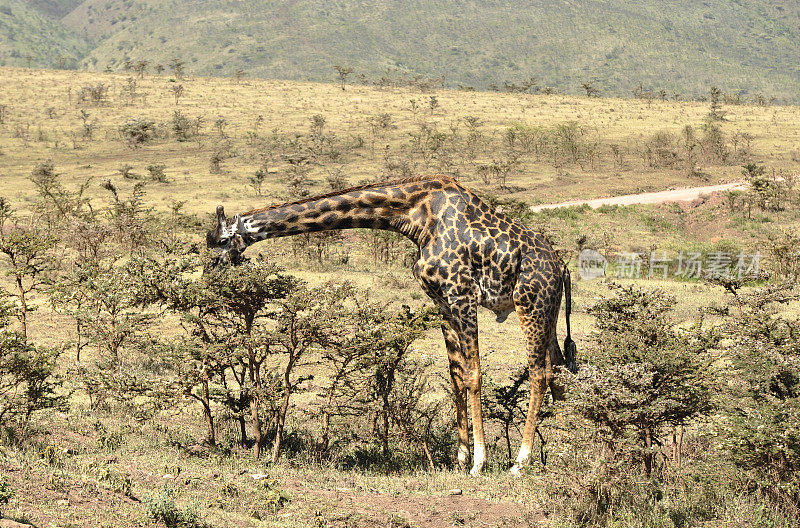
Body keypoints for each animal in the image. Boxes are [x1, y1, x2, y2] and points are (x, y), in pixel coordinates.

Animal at [208, 175, 576, 476]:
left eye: (221, 243)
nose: (209, 272)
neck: (417, 217)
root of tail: (561, 266)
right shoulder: (441, 301)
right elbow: (456, 376)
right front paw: (460, 458)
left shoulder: (462, 295)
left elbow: (473, 375)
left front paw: (479, 462)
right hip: (549, 310)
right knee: (559, 371)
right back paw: (565, 450)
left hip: (530, 304)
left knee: (540, 373)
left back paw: (522, 461)